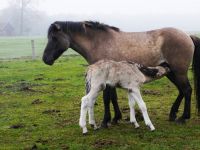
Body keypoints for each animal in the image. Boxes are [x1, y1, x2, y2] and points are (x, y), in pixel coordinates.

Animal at [43, 20, 200, 125]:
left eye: (54, 38)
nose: (45, 59)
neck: (98, 43)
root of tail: (187, 36)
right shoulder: (111, 78)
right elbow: (113, 98)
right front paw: (115, 118)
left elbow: (107, 98)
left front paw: (106, 121)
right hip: (171, 72)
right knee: (182, 91)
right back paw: (173, 114)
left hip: (178, 72)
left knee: (187, 90)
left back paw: (183, 117)